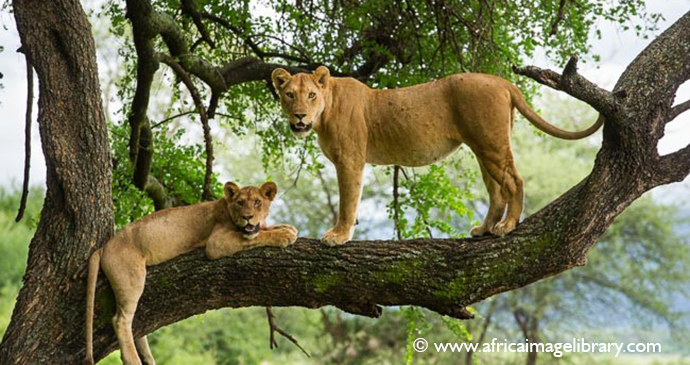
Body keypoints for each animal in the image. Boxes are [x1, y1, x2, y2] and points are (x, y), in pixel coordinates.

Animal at [84, 182, 296, 364]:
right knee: (121, 320)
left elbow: (262, 230)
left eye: (258, 202)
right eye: (240, 203)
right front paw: (284, 235)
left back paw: (147, 357)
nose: (248, 217)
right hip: (132, 278)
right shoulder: (216, 243)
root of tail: (104, 246)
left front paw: (286, 227)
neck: (227, 209)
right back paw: (133, 360)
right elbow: (257, 236)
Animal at [272, 66, 600, 245]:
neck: (324, 113)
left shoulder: (351, 159)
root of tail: (502, 81)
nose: (300, 115)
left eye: (311, 95)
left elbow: (347, 201)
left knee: (514, 182)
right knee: (496, 190)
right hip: (483, 147)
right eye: (290, 95)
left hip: (491, 144)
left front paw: (338, 236)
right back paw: (484, 229)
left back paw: (507, 227)